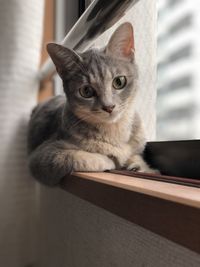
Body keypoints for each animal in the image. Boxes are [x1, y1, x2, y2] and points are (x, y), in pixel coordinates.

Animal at [27, 23, 155, 186]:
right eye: (86, 91)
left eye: (119, 82)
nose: (109, 107)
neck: (114, 131)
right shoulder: (42, 157)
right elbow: (77, 157)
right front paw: (108, 159)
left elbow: (137, 157)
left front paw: (139, 166)